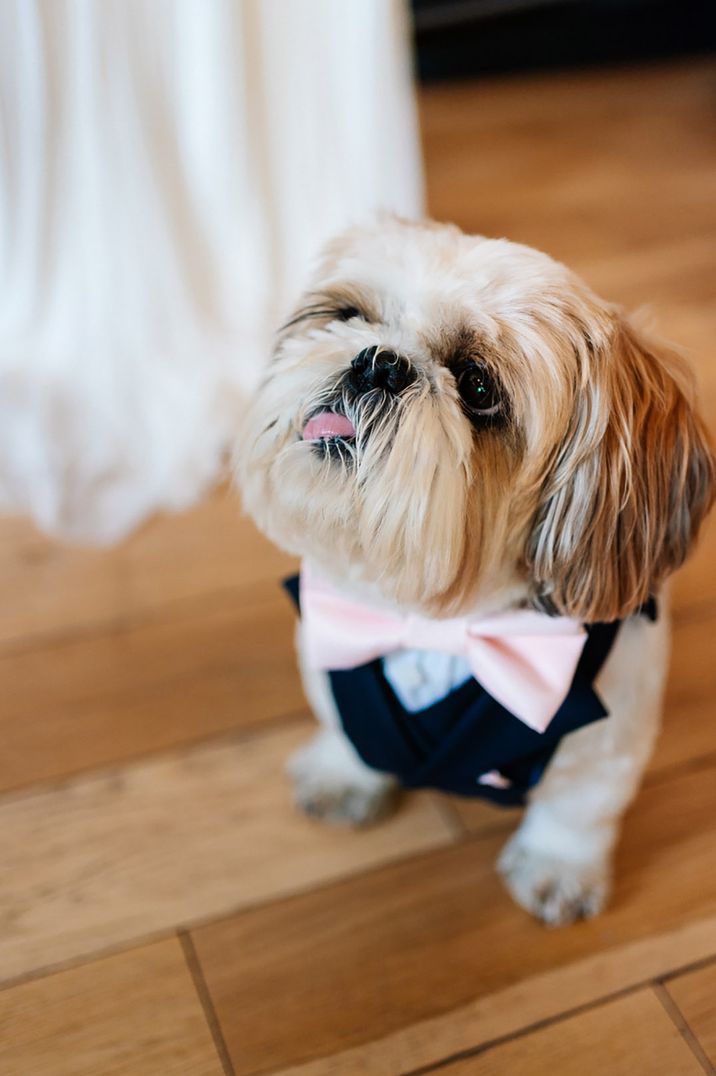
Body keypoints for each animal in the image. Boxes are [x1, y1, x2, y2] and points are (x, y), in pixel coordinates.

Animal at [236, 216, 710, 925]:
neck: (435, 623)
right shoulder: (331, 649)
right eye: (348, 315)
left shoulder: (606, 742)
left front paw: (556, 869)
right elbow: (350, 731)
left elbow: (577, 812)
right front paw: (345, 775)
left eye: (479, 387)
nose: (379, 360)